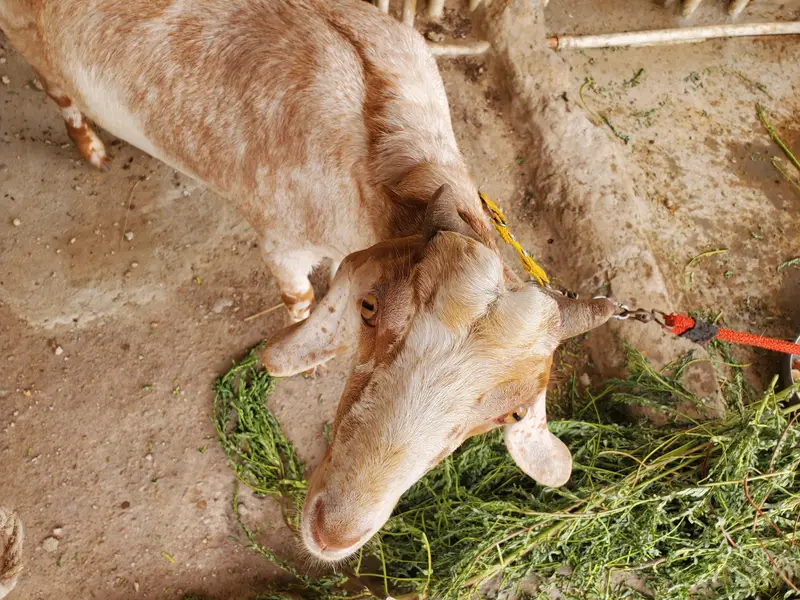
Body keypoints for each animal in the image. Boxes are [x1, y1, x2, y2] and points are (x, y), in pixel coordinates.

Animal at [0, 0, 615, 561]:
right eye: (370, 308)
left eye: (509, 415)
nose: (332, 532)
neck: (385, 155)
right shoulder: (281, 238)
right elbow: (298, 298)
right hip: (29, 38)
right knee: (58, 92)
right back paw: (92, 148)